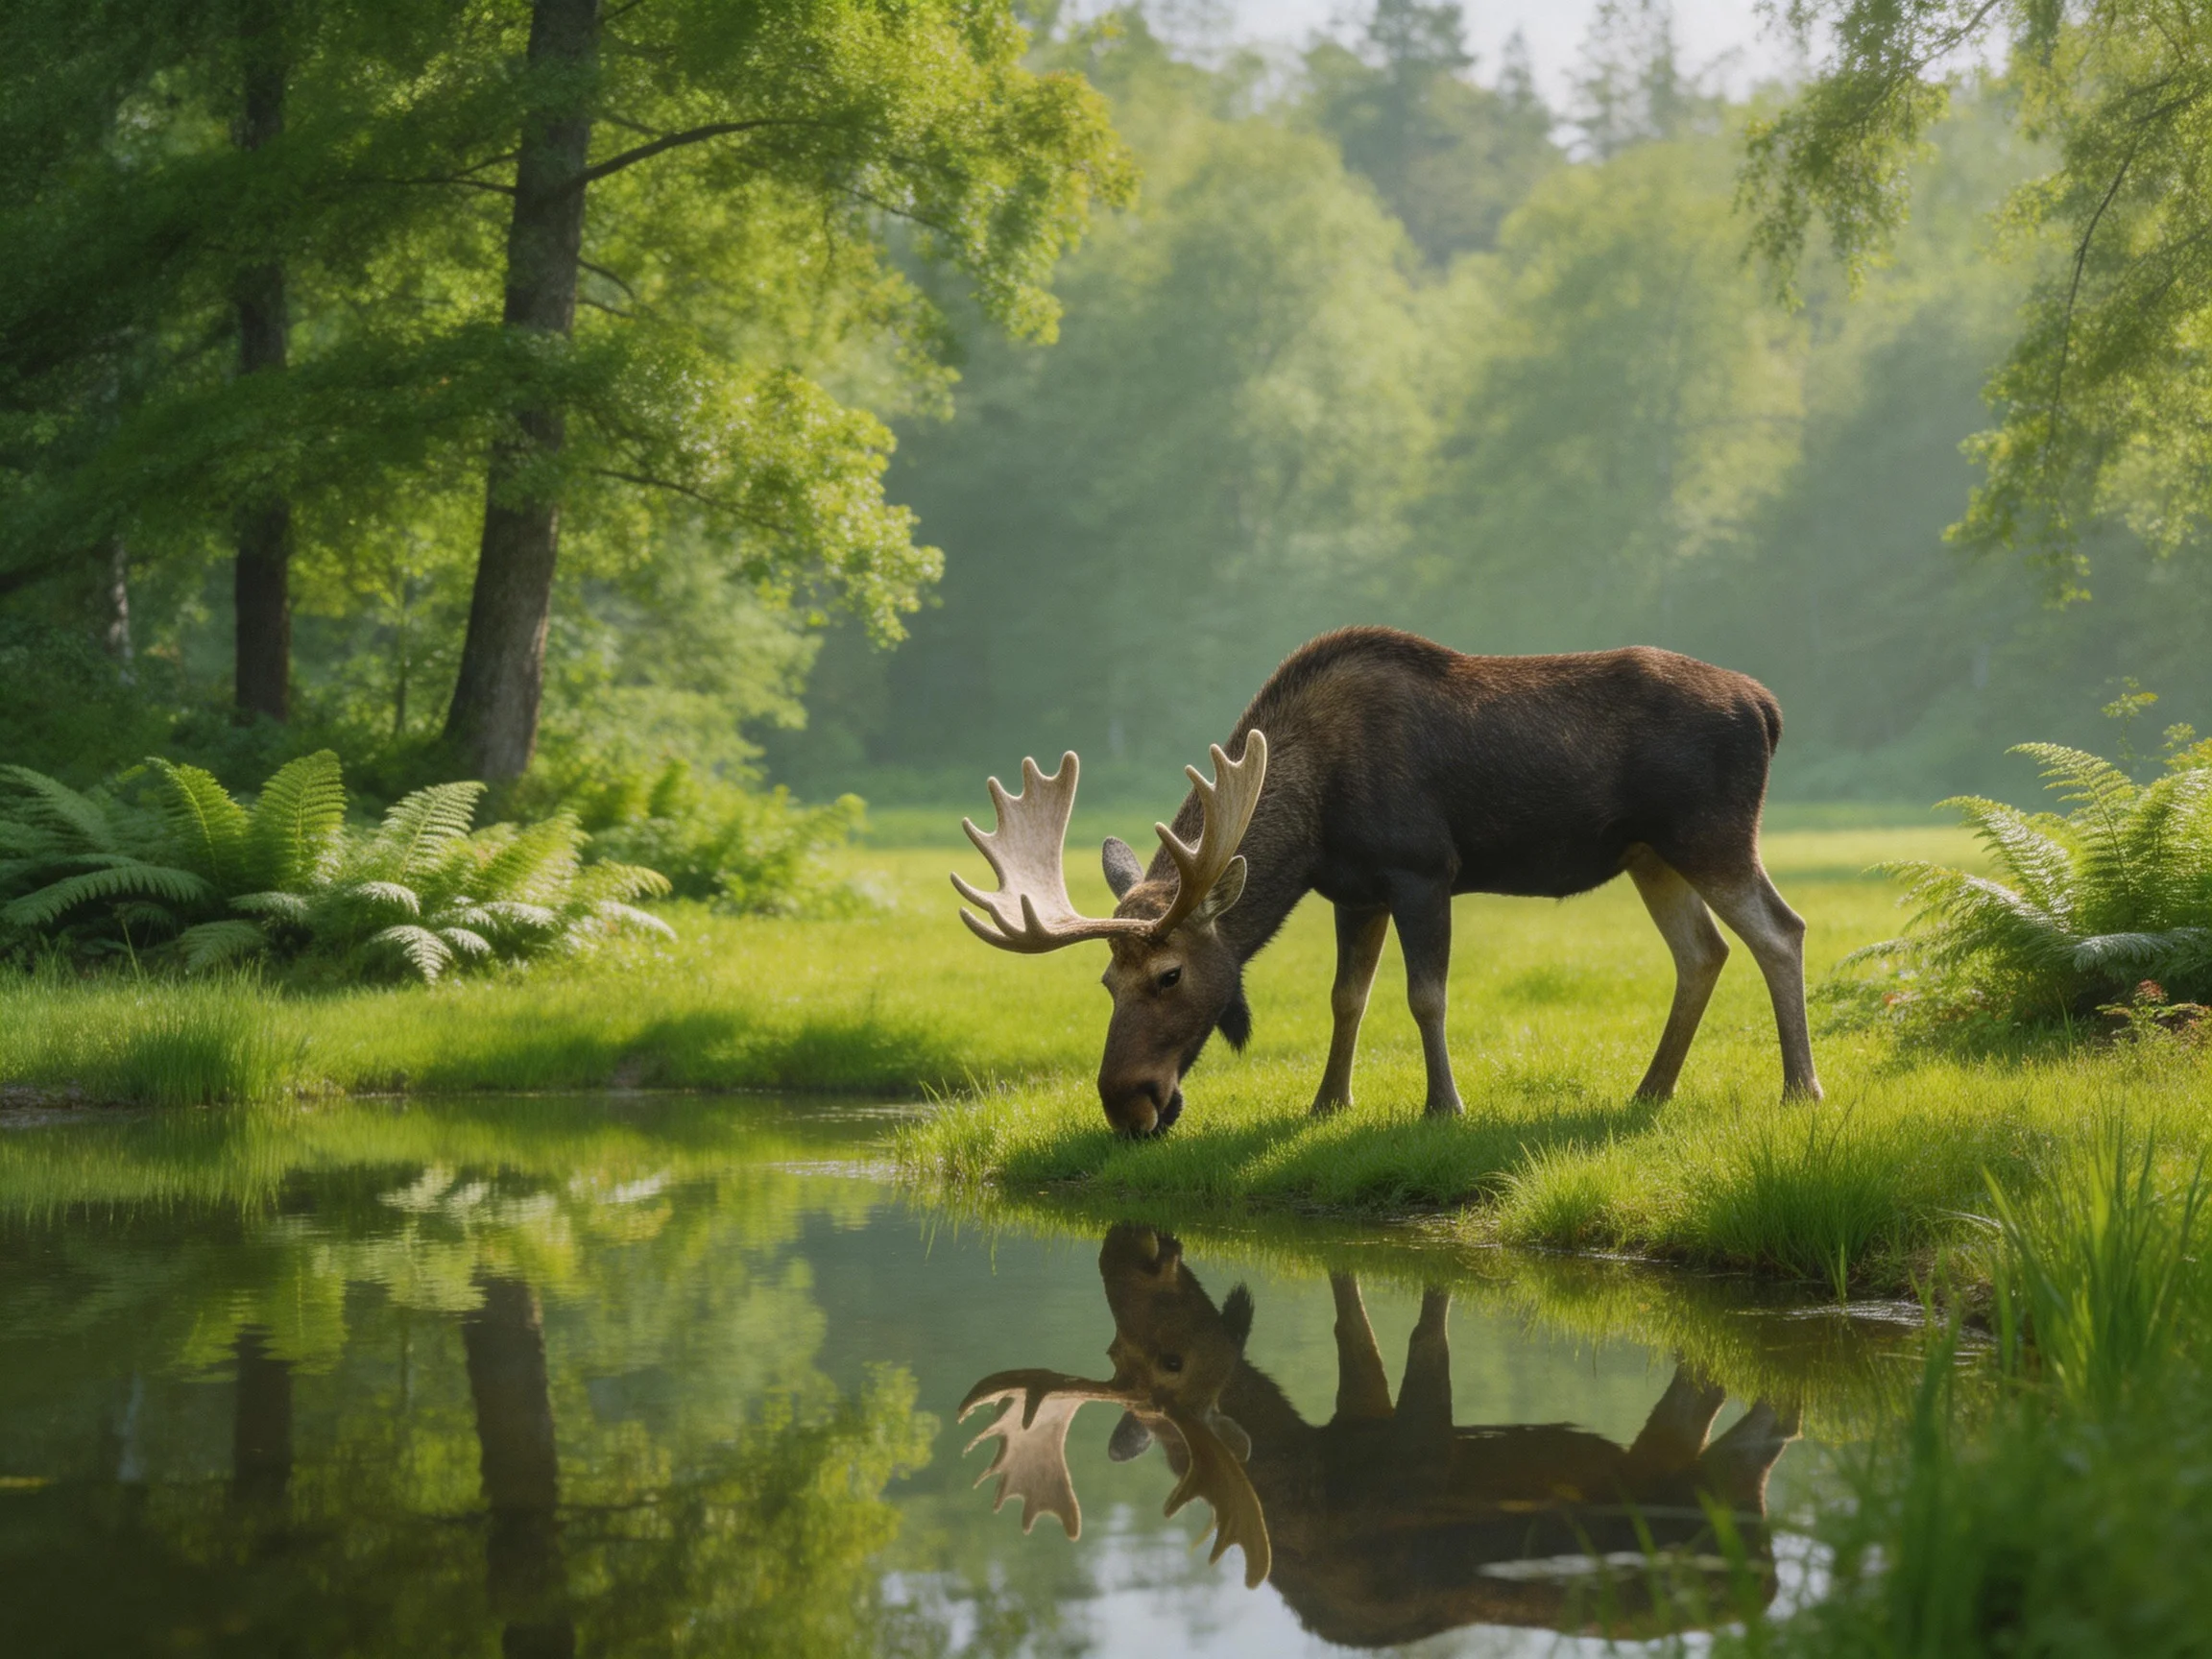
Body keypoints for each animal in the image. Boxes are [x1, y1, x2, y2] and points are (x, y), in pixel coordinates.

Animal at [954, 627, 1821, 1135]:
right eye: (1106, 980)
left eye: (1169, 975)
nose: (1126, 1101)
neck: (1314, 825)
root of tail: (1770, 708)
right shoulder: (1357, 890)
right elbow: (1349, 997)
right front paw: (1327, 1101)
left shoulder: (1421, 869)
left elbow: (1425, 994)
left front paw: (1443, 1106)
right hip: (1650, 853)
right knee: (1703, 952)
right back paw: (1650, 1090)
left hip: (1712, 832)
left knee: (1781, 929)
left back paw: (1799, 1089)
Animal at [962, 1225, 1800, 1645]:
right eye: (1115, 1351)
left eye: (1169, 1359)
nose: (1122, 1244)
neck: (1306, 1475)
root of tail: (1760, 1591)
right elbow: (1362, 1329)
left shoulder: (1415, 1454)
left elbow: (1420, 1337)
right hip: (1687, 1482)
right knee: (1732, 1422)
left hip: (1694, 1492)